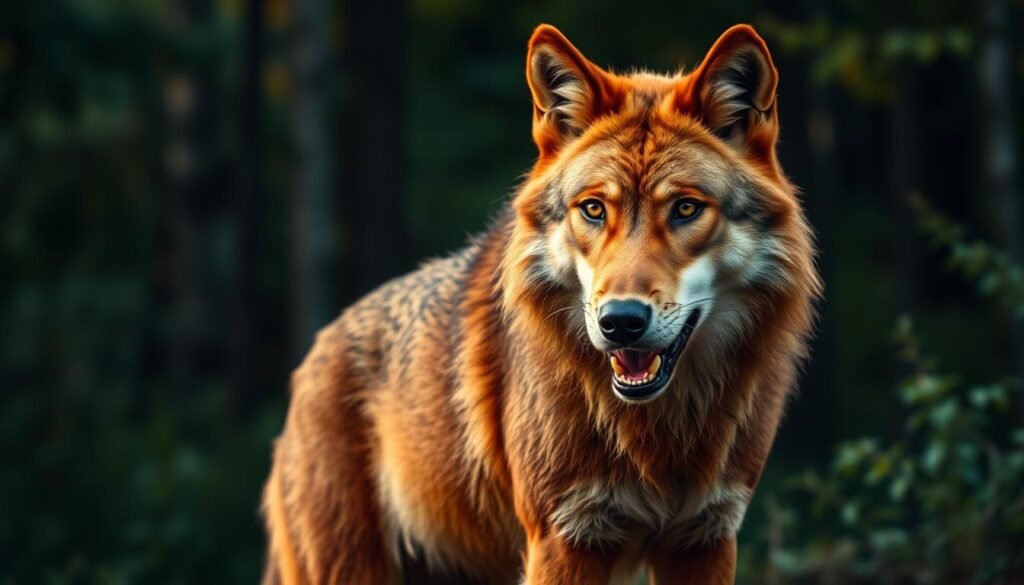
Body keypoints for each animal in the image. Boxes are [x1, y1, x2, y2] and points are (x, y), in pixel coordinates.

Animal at [262, 23, 821, 585]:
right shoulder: (564, 538)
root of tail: (314, 353)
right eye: (593, 209)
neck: (655, 433)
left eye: (685, 209)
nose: (620, 322)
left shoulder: (706, 538)